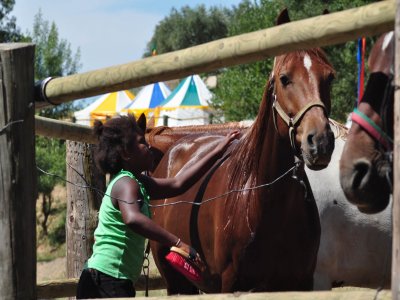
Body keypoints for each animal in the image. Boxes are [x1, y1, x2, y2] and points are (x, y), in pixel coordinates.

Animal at [149, 9, 334, 292]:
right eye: (284, 78)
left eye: (330, 77)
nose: (320, 141)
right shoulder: (233, 284)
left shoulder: (301, 283)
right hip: (176, 281)